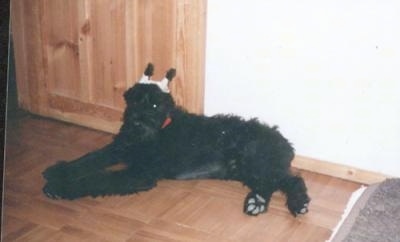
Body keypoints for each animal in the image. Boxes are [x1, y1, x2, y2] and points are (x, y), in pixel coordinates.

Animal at [42, 63, 310, 216]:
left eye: (154, 105)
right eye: (134, 101)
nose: (135, 125)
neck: (158, 131)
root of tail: (284, 142)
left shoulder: (139, 173)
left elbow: (100, 178)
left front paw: (61, 187)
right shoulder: (119, 148)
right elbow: (91, 158)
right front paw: (59, 170)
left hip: (254, 161)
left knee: (282, 181)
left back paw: (265, 202)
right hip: (248, 169)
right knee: (285, 180)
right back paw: (280, 203)